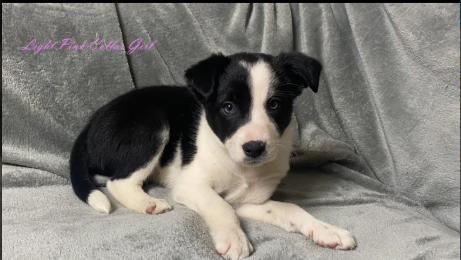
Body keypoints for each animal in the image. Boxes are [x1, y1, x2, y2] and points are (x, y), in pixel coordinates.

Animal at [69, 51, 356, 258]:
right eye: (228, 107)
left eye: (274, 105)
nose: (254, 148)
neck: (240, 167)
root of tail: (91, 122)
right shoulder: (191, 185)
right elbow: (220, 206)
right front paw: (234, 239)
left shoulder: (248, 201)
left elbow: (290, 209)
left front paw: (326, 231)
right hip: (152, 124)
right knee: (118, 182)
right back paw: (147, 203)